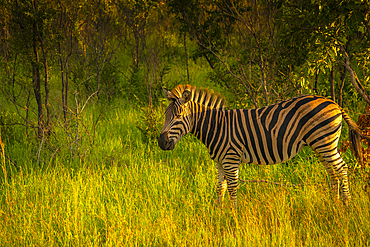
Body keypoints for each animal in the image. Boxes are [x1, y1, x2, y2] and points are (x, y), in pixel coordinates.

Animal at [158, 84, 368, 207]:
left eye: (178, 116)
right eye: (165, 115)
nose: (161, 142)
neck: (217, 127)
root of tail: (334, 103)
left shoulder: (231, 159)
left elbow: (232, 187)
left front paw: (233, 215)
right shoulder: (219, 162)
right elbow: (220, 187)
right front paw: (219, 212)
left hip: (325, 142)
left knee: (341, 168)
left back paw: (346, 204)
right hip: (321, 145)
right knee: (332, 171)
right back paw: (333, 202)